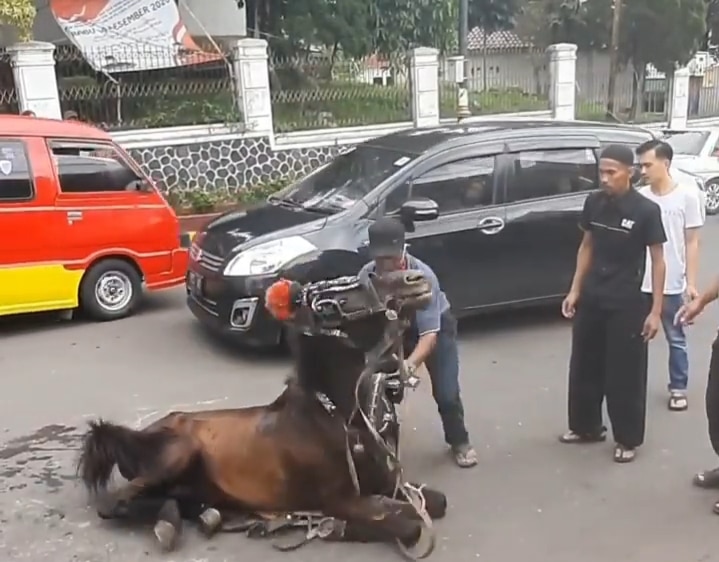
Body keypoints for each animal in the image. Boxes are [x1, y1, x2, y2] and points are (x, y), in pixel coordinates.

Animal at [80, 270, 450, 556]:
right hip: (177, 454)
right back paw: (170, 524)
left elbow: (436, 502)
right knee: (115, 504)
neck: (337, 419)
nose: (416, 280)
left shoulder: (387, 482)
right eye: (334, 300)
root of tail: (136, 436)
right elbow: (409, 527)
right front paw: (341, 528)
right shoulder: (338, 499)